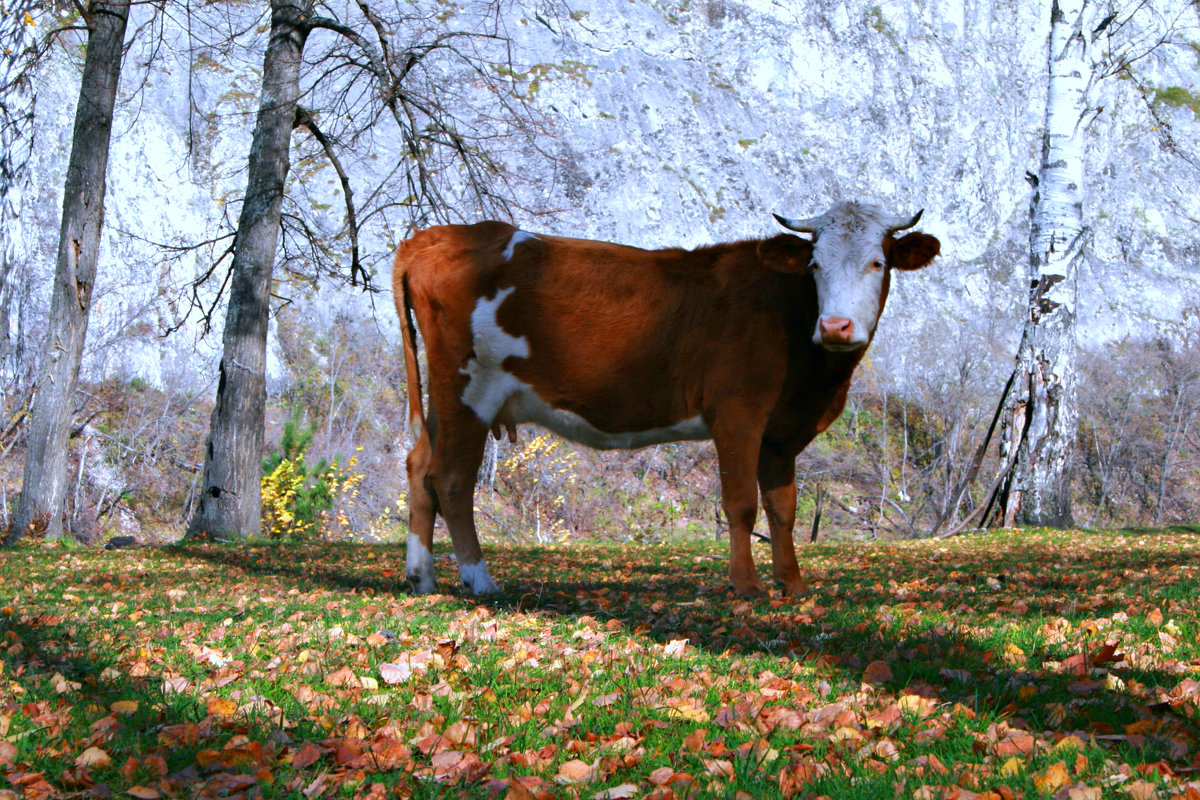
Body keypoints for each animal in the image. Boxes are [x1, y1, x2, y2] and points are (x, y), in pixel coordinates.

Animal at [393, 203, 936, 597]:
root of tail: (435, 236)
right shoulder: (736, 412)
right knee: (451, 479)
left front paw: (794, 585)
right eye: (815, 264)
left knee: (419, 466)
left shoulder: (782, 433)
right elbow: (741, 503)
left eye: (878, 262)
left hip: (445, 400)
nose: (836, 326)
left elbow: (784, 508)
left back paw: (423, 578)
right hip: (468, 390)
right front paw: (747, 586)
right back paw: (480, 580)